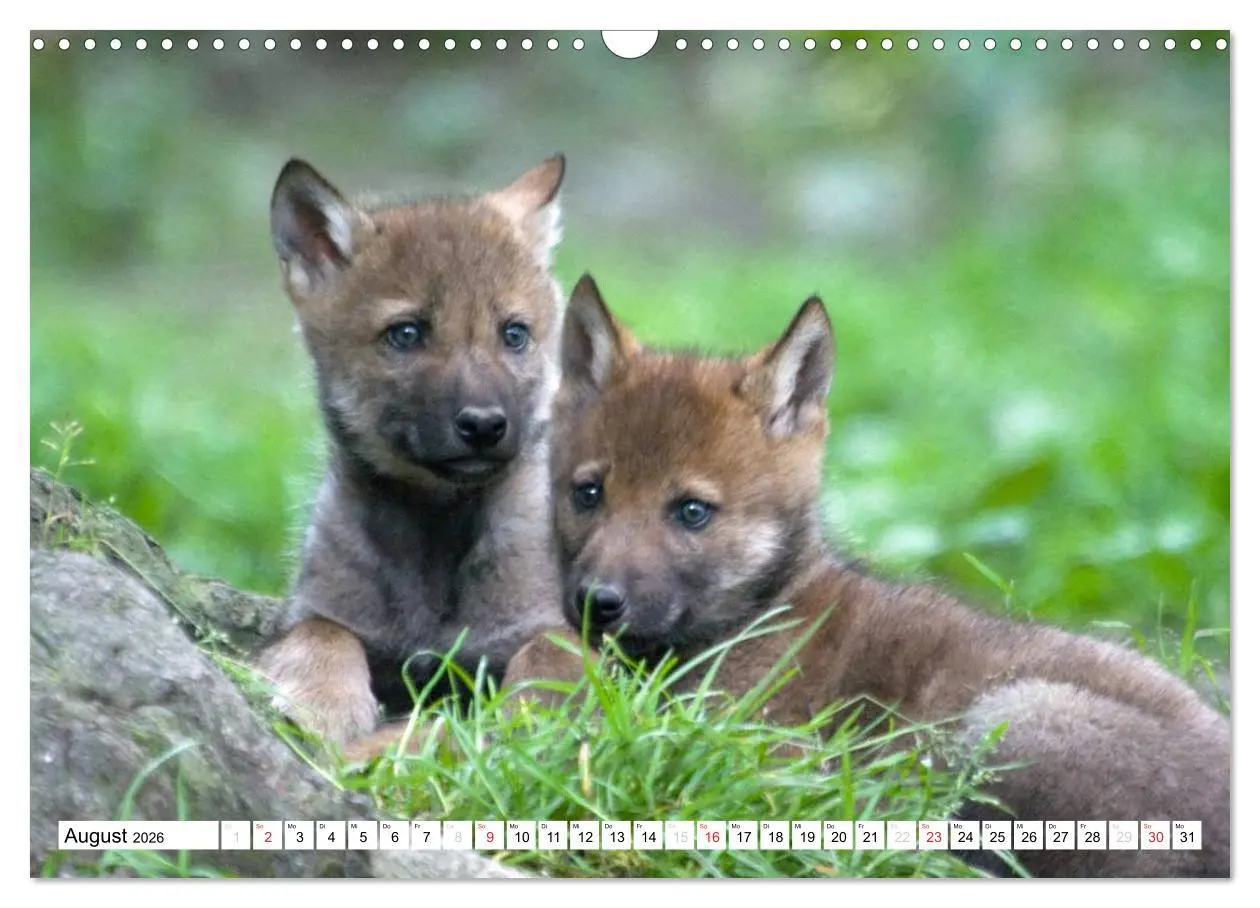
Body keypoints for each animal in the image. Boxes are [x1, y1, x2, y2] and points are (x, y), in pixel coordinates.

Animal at [256, 156, 568, 753]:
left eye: (514, 334)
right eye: (406, 333)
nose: (484, 425)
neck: (434, 531)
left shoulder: (562, 631)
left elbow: (546, 663)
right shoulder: (323, 614)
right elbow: (321, 635)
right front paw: (319, 704)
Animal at [504, 274, 1229, 877]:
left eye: (691, 511)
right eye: (588, 493)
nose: (597, 602)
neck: (764, 611)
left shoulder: (757, 745)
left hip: (1011, 716)